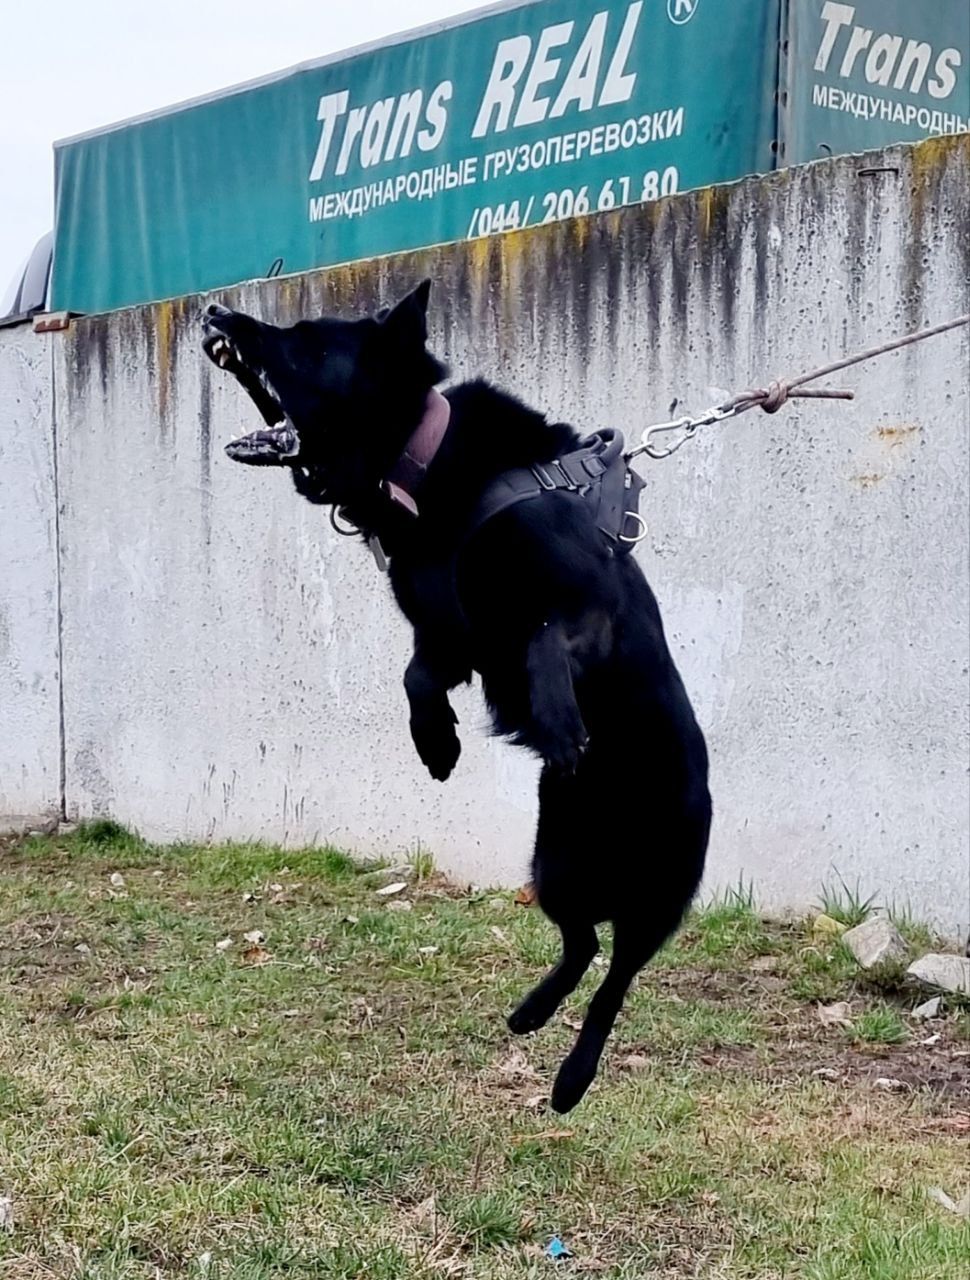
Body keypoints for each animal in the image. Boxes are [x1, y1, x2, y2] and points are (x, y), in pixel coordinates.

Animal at [200, 282, 711, 1111]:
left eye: (305, 340)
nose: (215, 311)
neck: (423, 460)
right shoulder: (445, 638)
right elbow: (415, 678)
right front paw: (435, 742)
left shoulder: (587, 606)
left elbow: (543, 638)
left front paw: (560, 725)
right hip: (554, 866)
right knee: (583, 945)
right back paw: (532, 1010)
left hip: (649, 899)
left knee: (616, 978)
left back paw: (573, 1076)